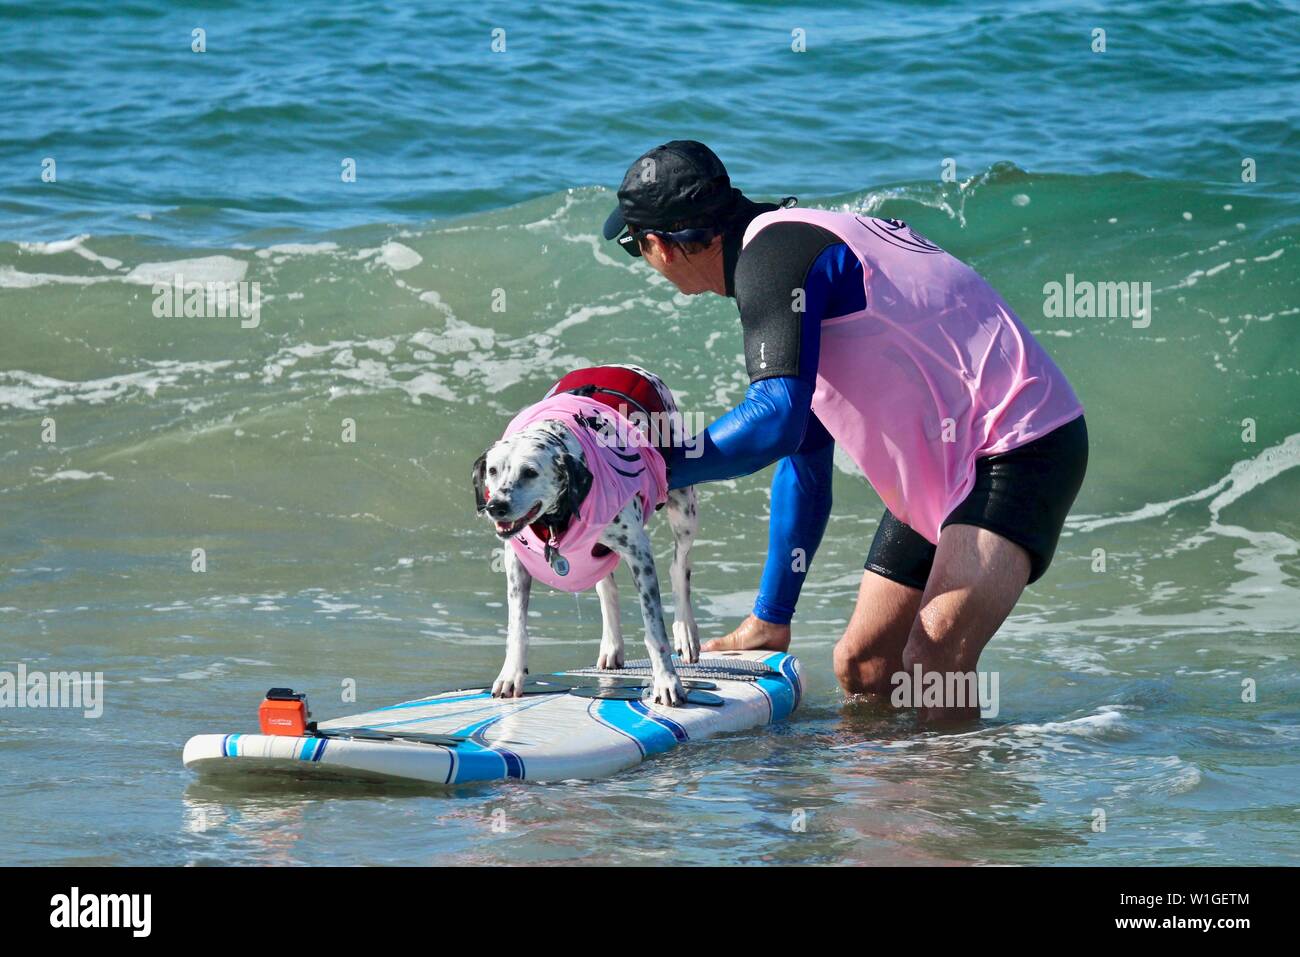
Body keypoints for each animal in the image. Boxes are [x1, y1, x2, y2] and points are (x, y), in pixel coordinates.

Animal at [475, 361, 702, 707]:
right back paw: (612, 645)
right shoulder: (517, 563)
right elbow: (517, 626)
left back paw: (685, 631)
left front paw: (667, 681)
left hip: (684, 509)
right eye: (493, 470)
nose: (496, 506)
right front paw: (511, 675)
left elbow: (654, 629)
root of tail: (620, 365)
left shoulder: (639, 553)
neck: (556, 519)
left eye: (530, 472)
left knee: (680, 566)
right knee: (606, 587)